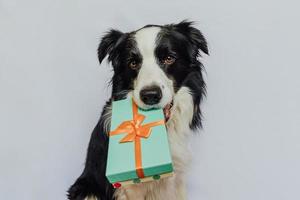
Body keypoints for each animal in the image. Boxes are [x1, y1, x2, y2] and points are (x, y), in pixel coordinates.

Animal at [68, 20, 209, 200]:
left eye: (168, 58)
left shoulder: (177, 178)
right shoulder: (129, 188)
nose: (150, 95)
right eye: (133, 63)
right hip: (87, 190)